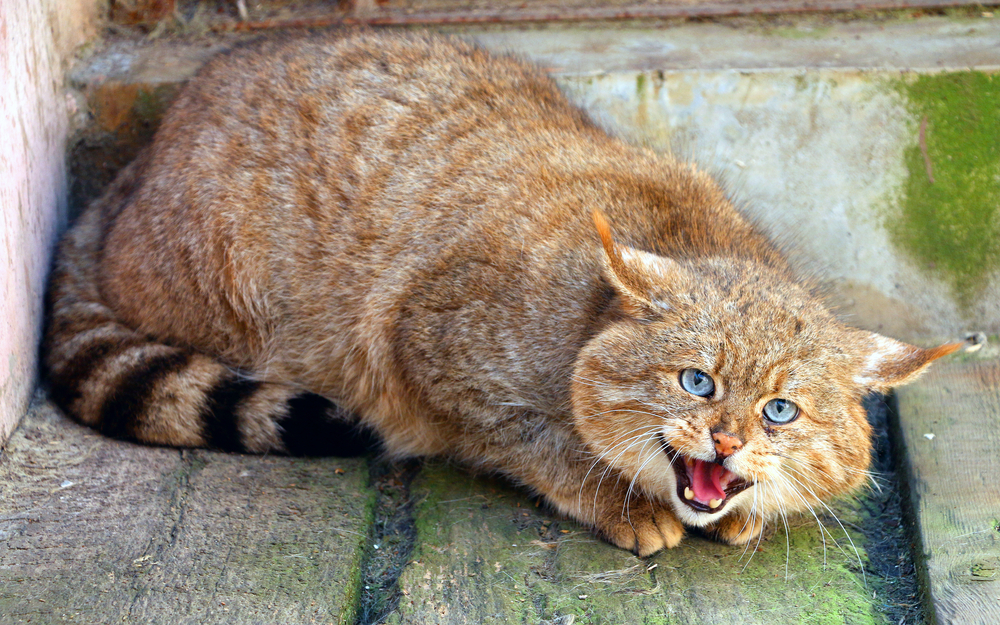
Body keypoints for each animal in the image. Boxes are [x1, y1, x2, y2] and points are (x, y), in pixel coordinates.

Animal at [41, 30, 960, 556]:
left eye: (781, 411)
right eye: (696, 381)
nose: (725, 441)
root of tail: (135, 166)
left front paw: (753, 508)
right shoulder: (422, 346)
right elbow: (531, 439)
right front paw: (614, 496)